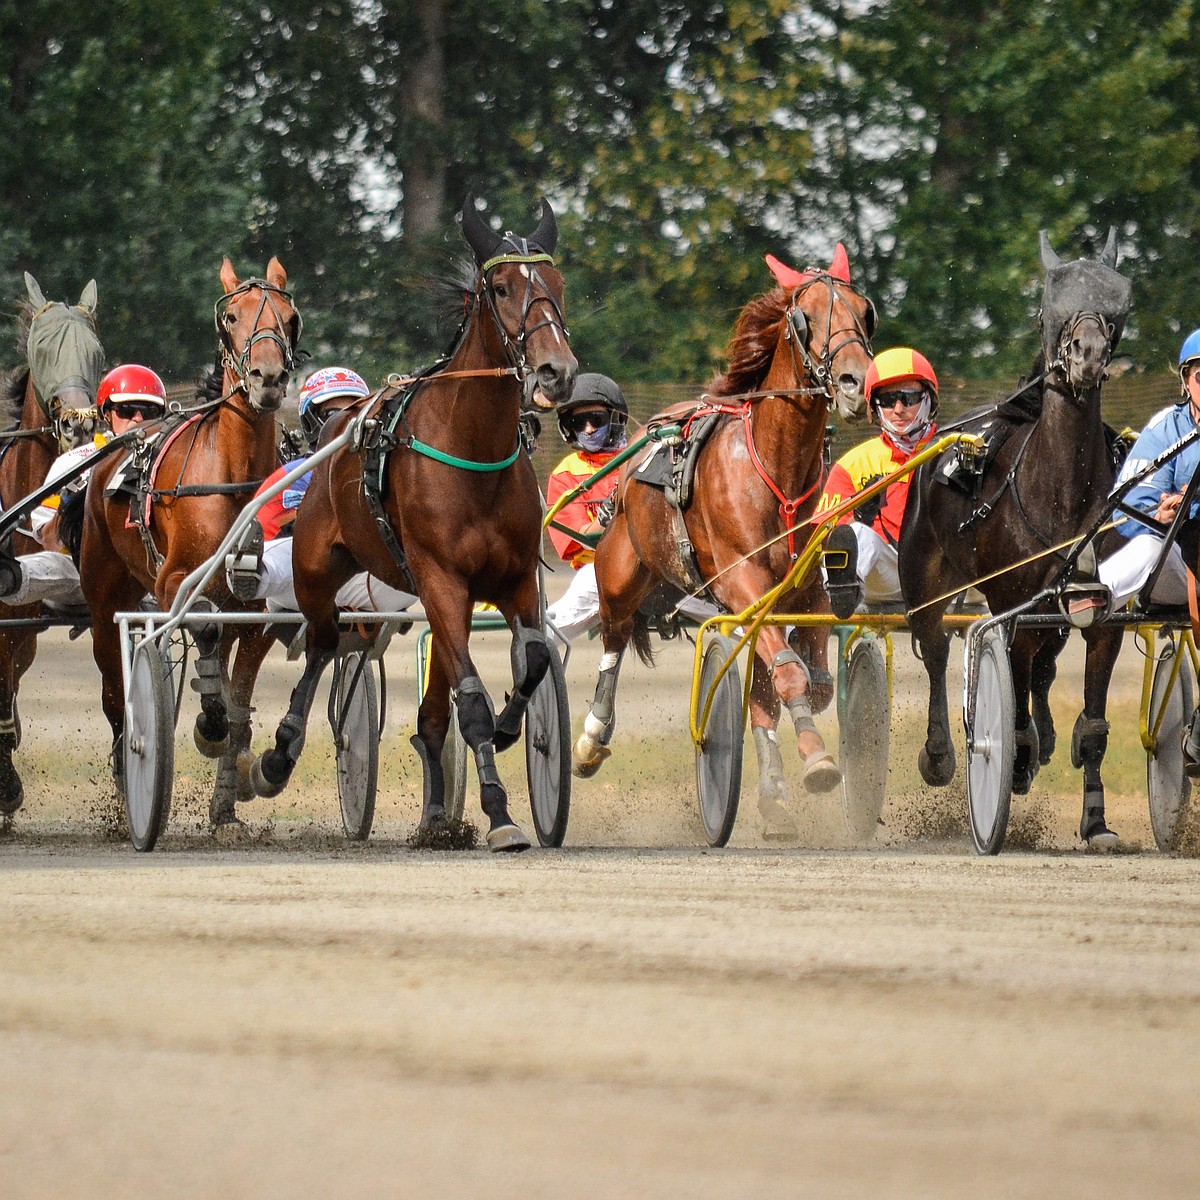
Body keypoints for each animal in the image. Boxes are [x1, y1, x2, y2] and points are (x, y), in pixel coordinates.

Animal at [79, 253, 300, 835]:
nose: (268, 377)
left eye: (290, 317)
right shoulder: (172, 581)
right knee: (114, 687)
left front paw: (230, 789)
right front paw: (209, 725)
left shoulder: (259, 605)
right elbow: (201, 623)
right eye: (232, 317)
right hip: (104, 598)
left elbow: (240, 693)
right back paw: (126, 767)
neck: (234, 477)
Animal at [250, 199, 578, 854]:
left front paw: (512, 729)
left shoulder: (512, 581)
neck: (472, 448)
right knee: (323, 641)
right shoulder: (441, 577)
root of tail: (337, 433)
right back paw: (279, 754)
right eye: (501, 288)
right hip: (316, 568)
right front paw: (500, 813)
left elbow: (531, 663)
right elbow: (470, 699)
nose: (557, 370)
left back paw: (435, 816)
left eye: (556, 285)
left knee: (427, 712)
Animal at [571, 248, 873, 840]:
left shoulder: (802, 590)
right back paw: (592, 738)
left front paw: (787, 779)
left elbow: (808, 680)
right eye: (805, 316)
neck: (774, 468)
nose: (854, 381)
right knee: (613, 641)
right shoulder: (743, 581)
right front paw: (818, 759)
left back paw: (774, 798)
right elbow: (786, 674)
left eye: (863, 310)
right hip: (619, 574)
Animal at [902, 229, 1132, 849]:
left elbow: (1094, 724)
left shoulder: (1104, 614)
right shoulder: (1011, 605)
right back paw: (943, 753)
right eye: (1047, 311)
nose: (1086, 354)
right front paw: (1011, 754)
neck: (1062, 493)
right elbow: (1009, 691)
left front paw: (1096, 822)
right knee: (937, 650)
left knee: (1045, 665)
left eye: (1117, 309)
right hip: (925, 580)